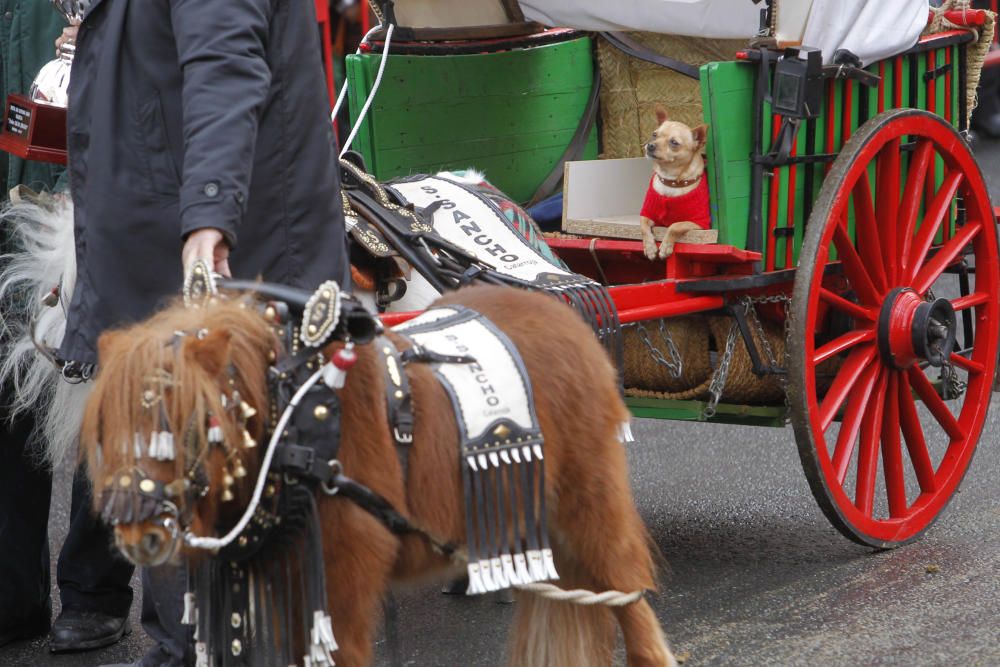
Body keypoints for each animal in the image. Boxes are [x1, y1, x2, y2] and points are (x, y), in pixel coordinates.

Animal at [78, 286, 672, 667]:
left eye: (189, 424)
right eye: (108, 428)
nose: (137, 532)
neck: (295, 425)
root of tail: (566, 315)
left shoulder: (345, 583)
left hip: (592, 512)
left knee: (634, 614)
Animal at [640, 105, 712, 260]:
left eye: (674, 143)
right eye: (654, 135)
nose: (650, 145)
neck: (671, 181)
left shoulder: (699, 222)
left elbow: (675, 226)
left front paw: (665, 247)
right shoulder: (647, 213)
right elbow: (643, 226)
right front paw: (650, 248)